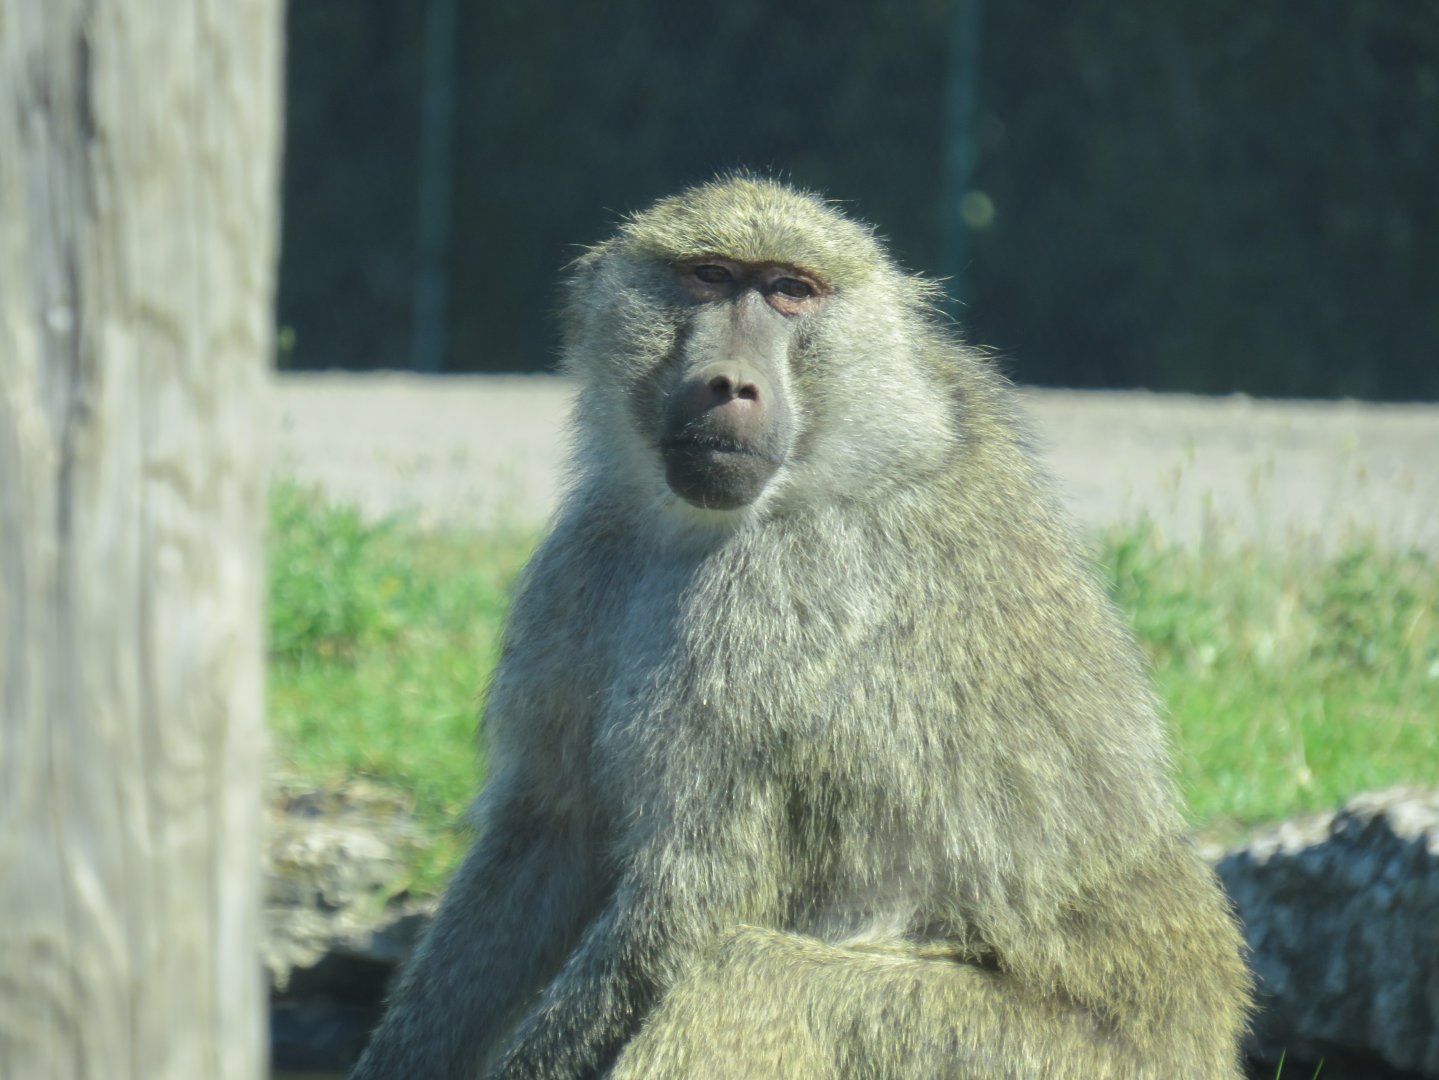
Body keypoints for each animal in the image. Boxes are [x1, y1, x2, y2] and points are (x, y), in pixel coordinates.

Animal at [350, 176, 1253, 1079]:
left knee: (743, 980)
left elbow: (694, 905)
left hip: (1028, 1056)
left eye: (791, 291)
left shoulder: (775, 601)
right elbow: (548, 832)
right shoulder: (589, 555)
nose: (730, 385)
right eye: (709, 277)